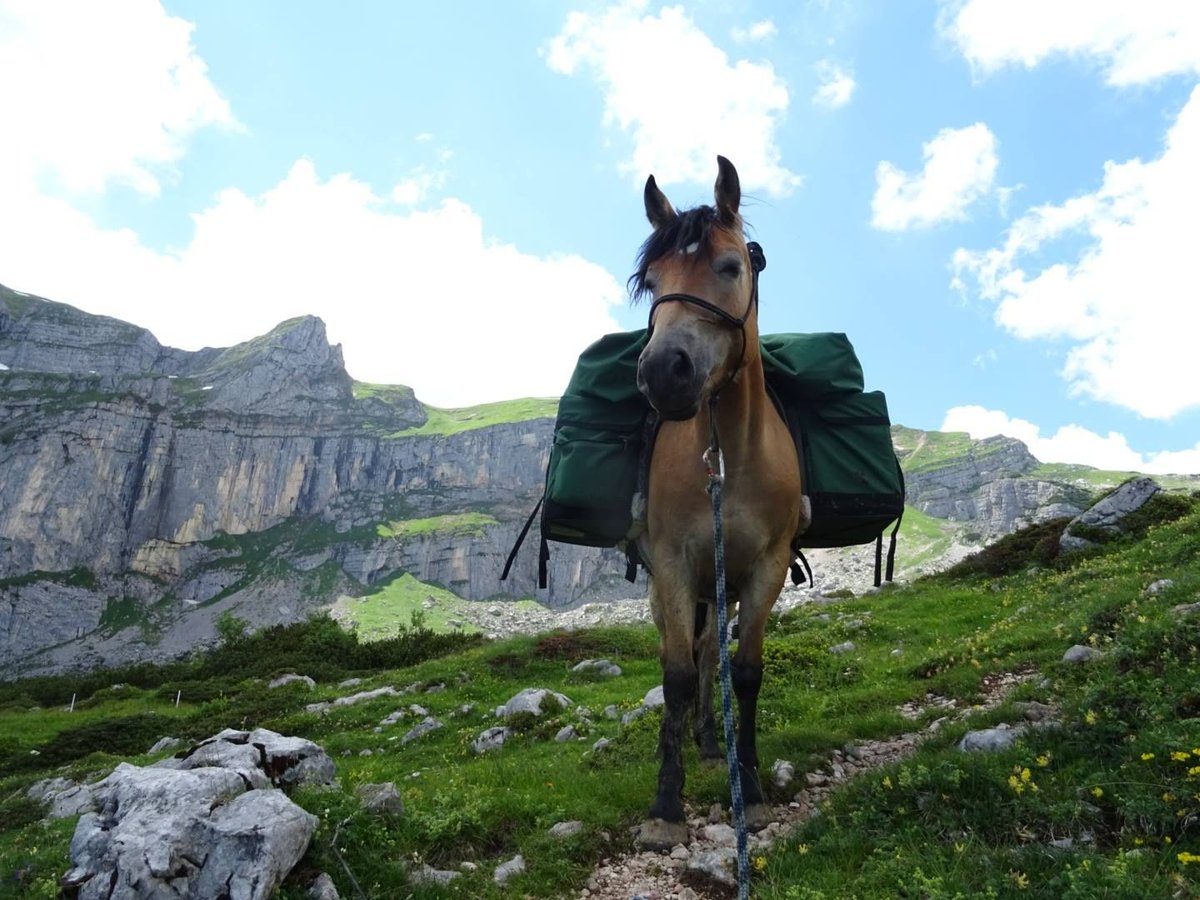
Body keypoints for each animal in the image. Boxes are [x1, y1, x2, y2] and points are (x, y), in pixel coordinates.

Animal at [628, 154, 806, 854]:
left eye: (731, 266)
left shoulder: (768, 567)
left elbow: (745, 671)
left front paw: (749, 789)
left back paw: (713, 745)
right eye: (652, 282)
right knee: (690, 657)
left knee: (713, 657)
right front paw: (664, 805)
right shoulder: (675, 567)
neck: (729, 456)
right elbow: (676, 677)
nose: (663, 372)